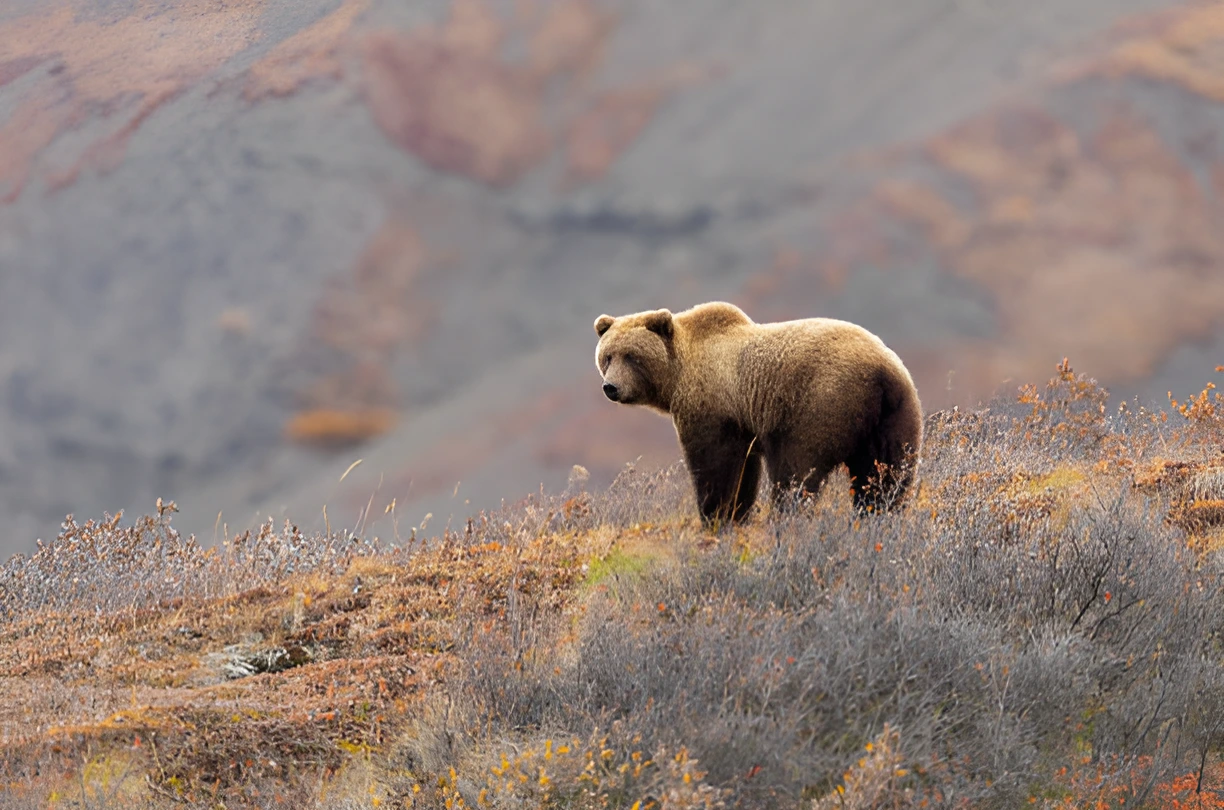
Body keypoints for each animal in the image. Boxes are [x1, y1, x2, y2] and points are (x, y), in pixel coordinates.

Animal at [589, 303, 920, 526]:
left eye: (632, 356)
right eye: (607, 356)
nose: (611, 387)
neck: (678, 374)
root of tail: (880, 372)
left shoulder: (713, 408)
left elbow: (715, 465)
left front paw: (716, 516)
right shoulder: (741, 423)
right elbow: (744, 473)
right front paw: (737, 514)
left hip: (818, 404)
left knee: (795, 472)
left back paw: (786, 518)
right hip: (894, 414)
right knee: (887, 474)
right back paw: (878, 515)